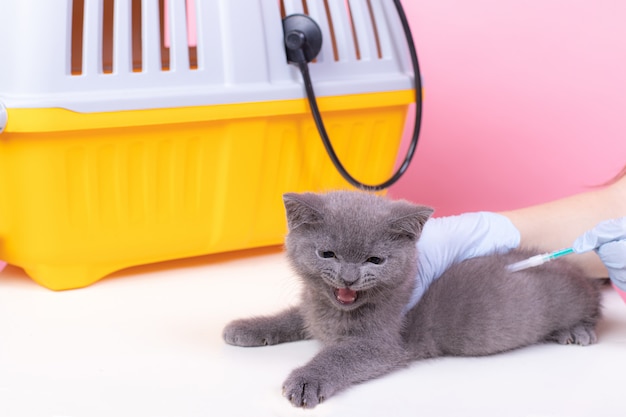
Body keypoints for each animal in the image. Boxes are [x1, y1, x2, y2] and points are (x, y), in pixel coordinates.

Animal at [223, 190, 600, 408]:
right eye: (327, 254)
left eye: (374, 260)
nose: (349, 278)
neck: (334, 311)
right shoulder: (312, 309)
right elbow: (291, 317)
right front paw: (246, 327)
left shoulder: (384, 344)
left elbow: (339, 356)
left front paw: (306, 380)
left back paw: (577, 329)